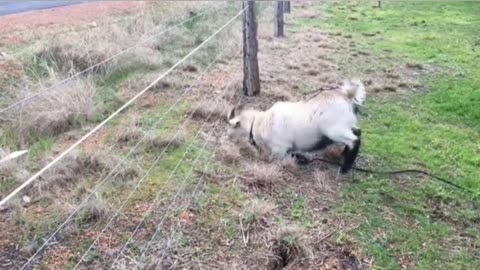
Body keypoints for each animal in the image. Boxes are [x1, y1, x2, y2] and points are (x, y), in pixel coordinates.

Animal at [227, 79, 366, 174]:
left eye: (229, 127)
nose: (227, 138)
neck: (261, 122)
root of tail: (348, 95)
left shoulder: (279, 148)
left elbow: (273, 159)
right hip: (346, 126)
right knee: (357, 132)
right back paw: (343, 155)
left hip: (335, 130)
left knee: (354, 140)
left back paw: (344, 169)